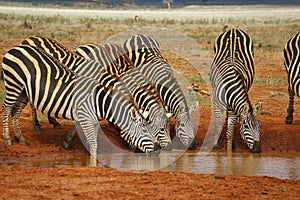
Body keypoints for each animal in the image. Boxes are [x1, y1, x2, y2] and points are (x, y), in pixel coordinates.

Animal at [1, 45, 161, 156]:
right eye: (145, 129)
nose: (158, 150)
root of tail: (17, 47)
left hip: (23, 90)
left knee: (16, 111)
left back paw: (21, 139)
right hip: (13, 83)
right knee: (6, 108)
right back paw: (8, 138)